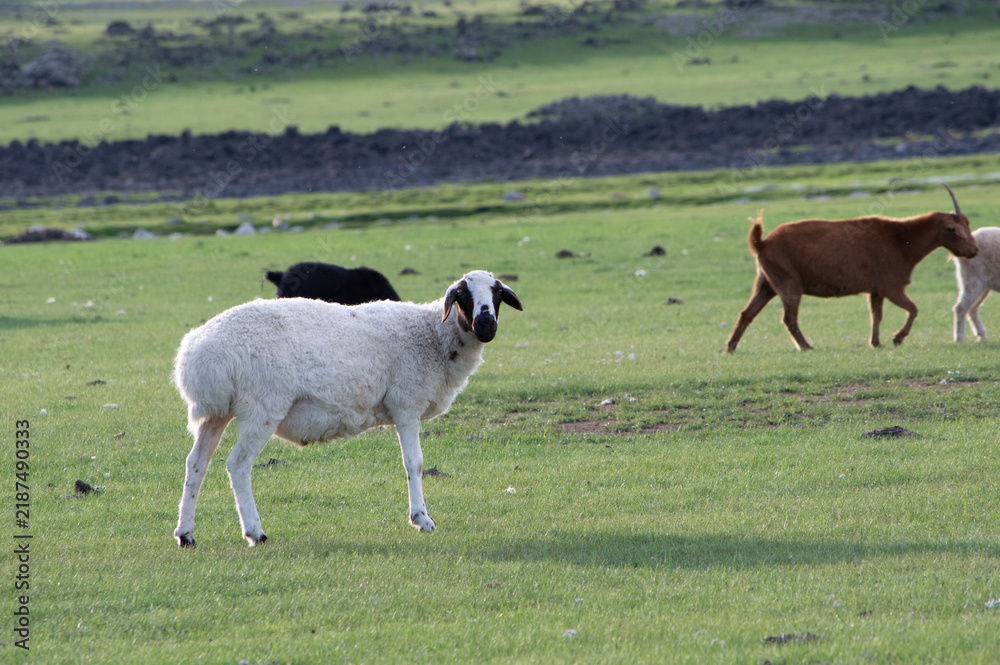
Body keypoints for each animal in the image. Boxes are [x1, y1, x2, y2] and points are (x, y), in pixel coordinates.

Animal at [173, 270, 522, 547]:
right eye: (462, 295)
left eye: (497, 294)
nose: (486, 323)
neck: (432, 336)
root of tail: (197, 356)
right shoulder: (406, 404)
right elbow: (415, 464)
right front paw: (421, 519)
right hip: (263, 406)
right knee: (238, 464)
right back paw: (255, 532)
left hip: (216, 412)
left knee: (196, 464)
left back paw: (185, 534)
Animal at [725, 185, 978, 352]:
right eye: (957, 230)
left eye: (968, 224)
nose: (974, 250)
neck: (901, 240)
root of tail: (762, 243)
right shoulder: (892, 287)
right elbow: (914, 309)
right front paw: (897, 338)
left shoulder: (876, 291)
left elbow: (876, 315)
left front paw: (876, 343)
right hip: (788, 284)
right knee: (789, 318)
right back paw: (806, 346)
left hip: (765, 283)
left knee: (747, 313)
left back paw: (730, 347)